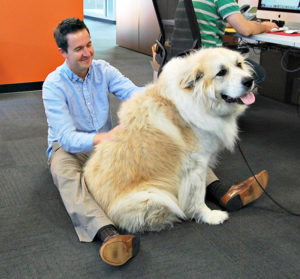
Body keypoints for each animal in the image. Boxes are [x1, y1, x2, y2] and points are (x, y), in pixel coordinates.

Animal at [83, 47, 254, 233]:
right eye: (221, 72)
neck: (198, 98)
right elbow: (198, 195)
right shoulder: (197, 165)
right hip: (154, 195)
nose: (249, 80)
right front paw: (208, 216)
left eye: (239, 64)